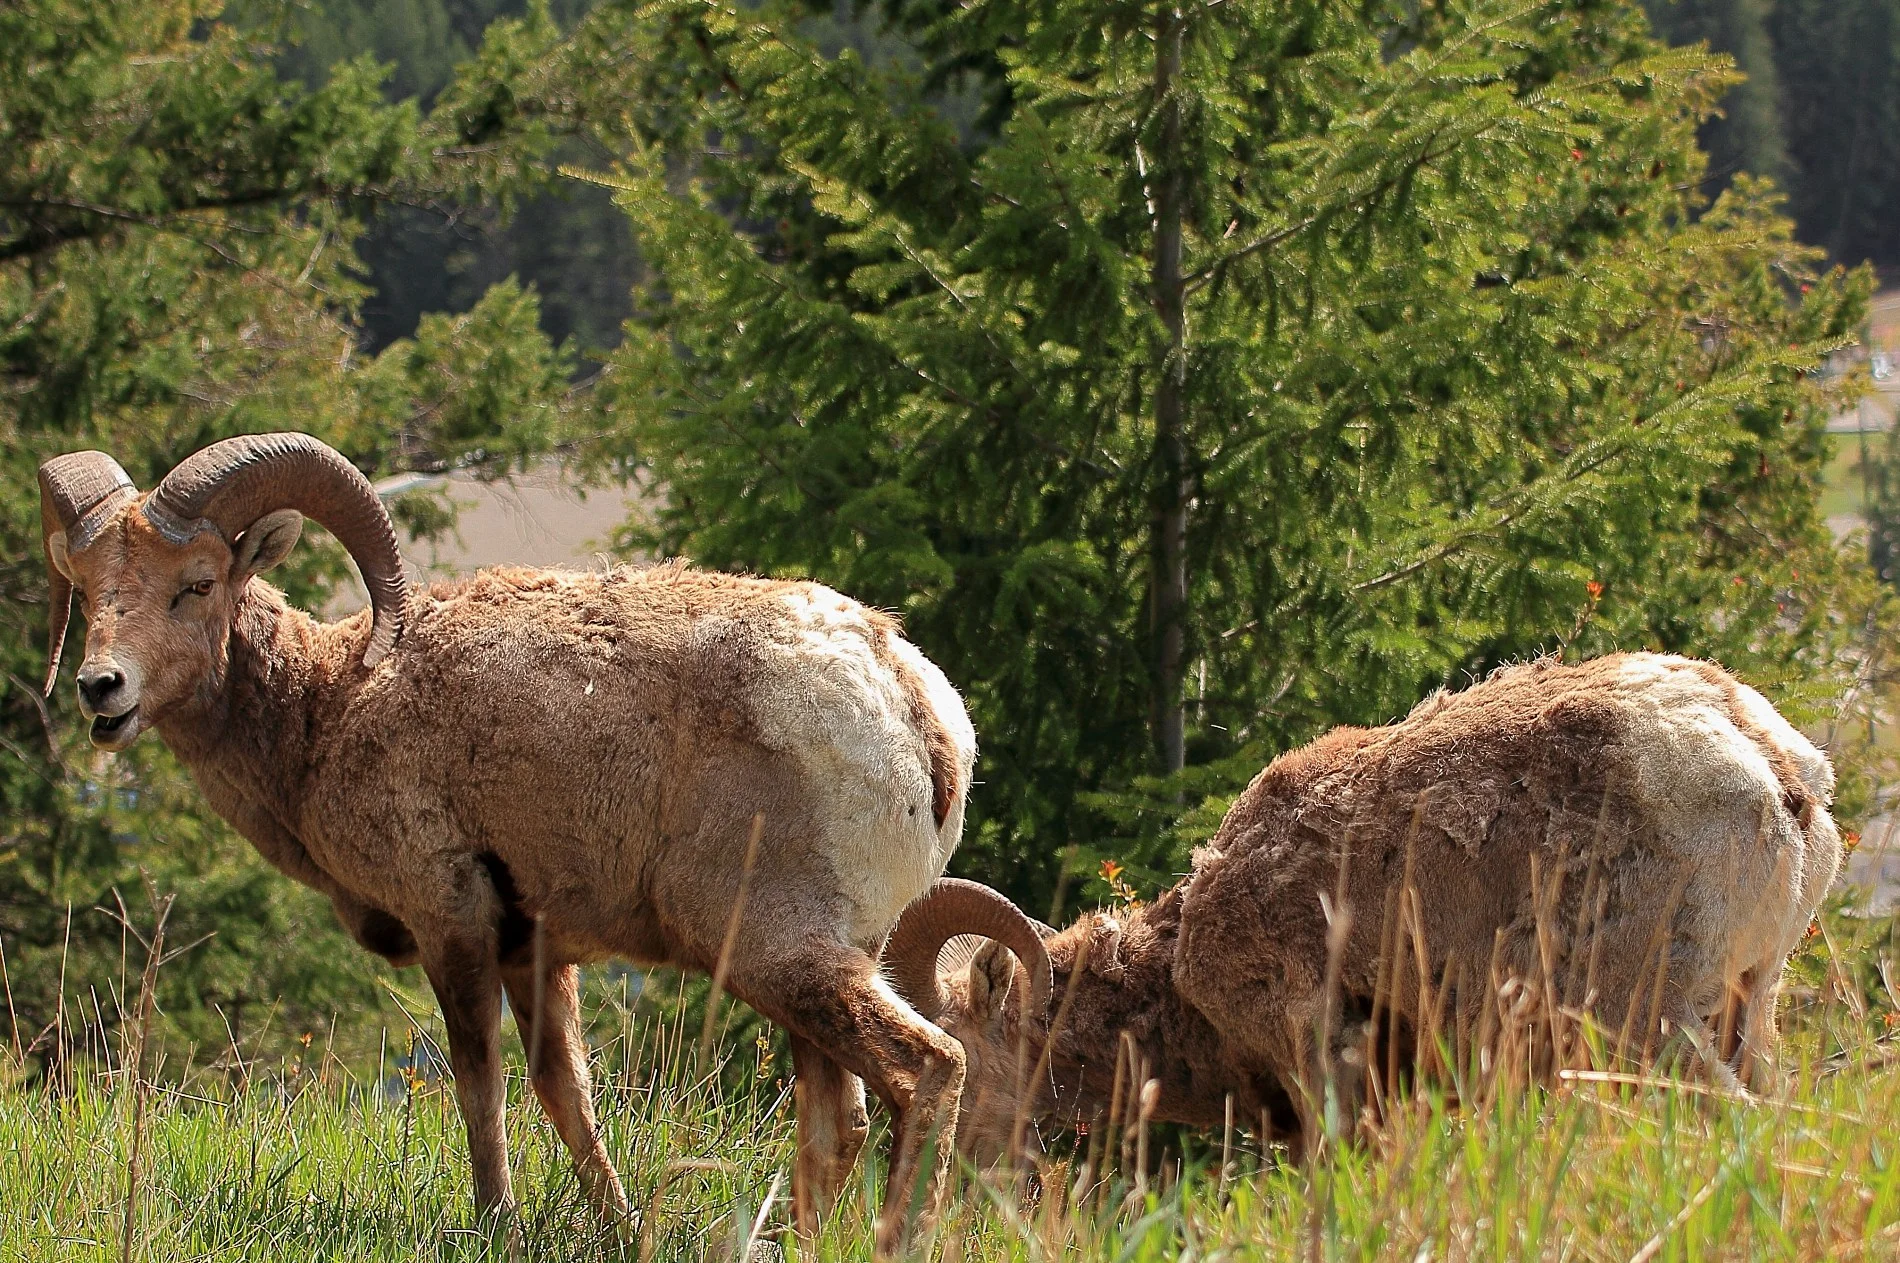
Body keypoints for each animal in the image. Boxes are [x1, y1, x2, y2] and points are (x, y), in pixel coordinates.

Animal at [36, 431, 1017, 1255]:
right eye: (86, 588)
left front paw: (494, 1221)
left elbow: (482, 1085)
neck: (328, 707)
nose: (101, 689)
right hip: (829, 961)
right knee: (835, 1123)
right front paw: (619, 1226)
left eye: (197, 582)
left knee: (927, 1069)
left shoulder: (454, 922)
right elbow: (563, 1089)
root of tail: (918, 710)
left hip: (781, 951)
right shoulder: (534, 947)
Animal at [881, 653, 1843, 1166]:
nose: (941, 1169)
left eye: (958, 1049)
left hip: (1654, 1027)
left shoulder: (1322, 1061)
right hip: (1745, 1011)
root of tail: (1772, 767)